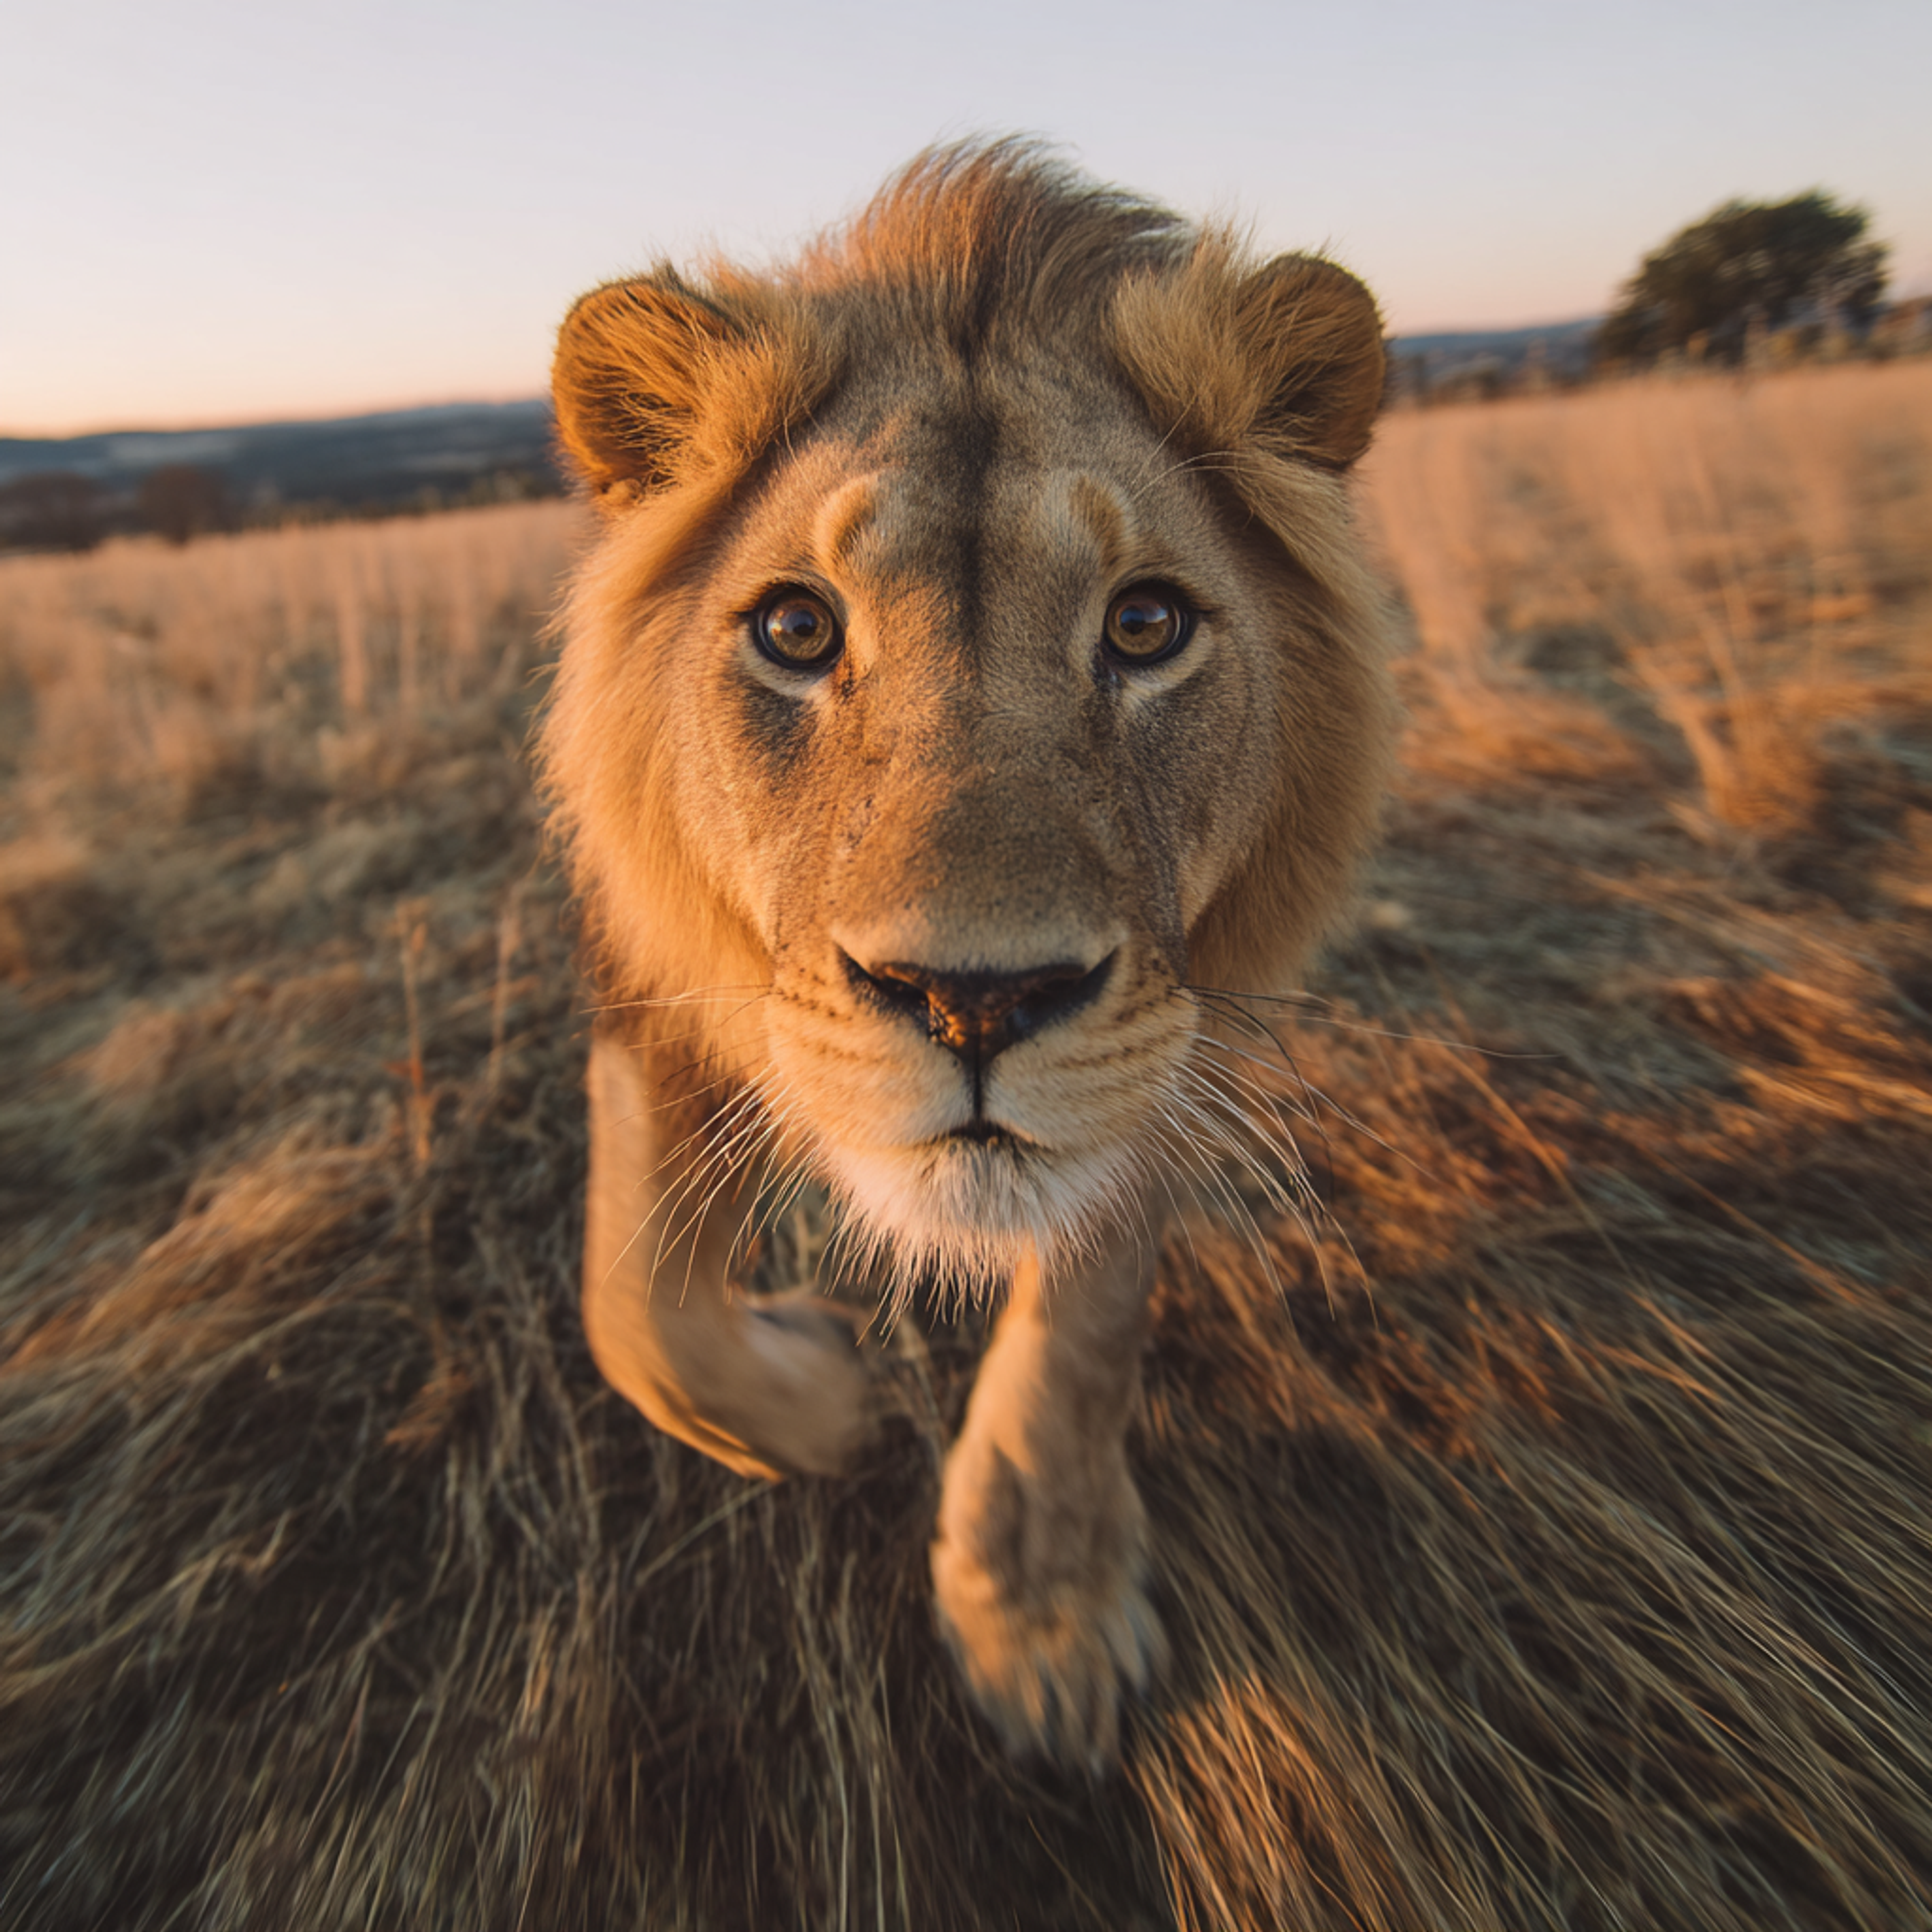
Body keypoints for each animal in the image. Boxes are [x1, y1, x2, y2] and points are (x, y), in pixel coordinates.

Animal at [539, 140, 1397, 1769]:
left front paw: (1037, 1604)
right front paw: (829, 1399)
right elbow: (635, 1306)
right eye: (795, 629)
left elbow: (1081, 1319)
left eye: (1145, 623)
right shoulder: (661, 977)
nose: (974, 1000)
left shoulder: (1166, 1041)